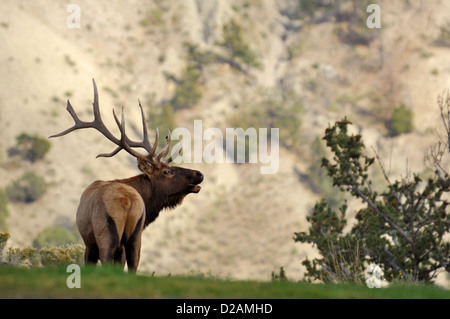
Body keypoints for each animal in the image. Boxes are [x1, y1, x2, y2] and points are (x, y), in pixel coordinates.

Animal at [50, 80, 203, 272]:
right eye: (167, 171)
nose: (199, 173)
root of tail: (127, 200)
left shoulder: (89, 244)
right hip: (134, 237)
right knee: (133, 265)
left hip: (106, 235)